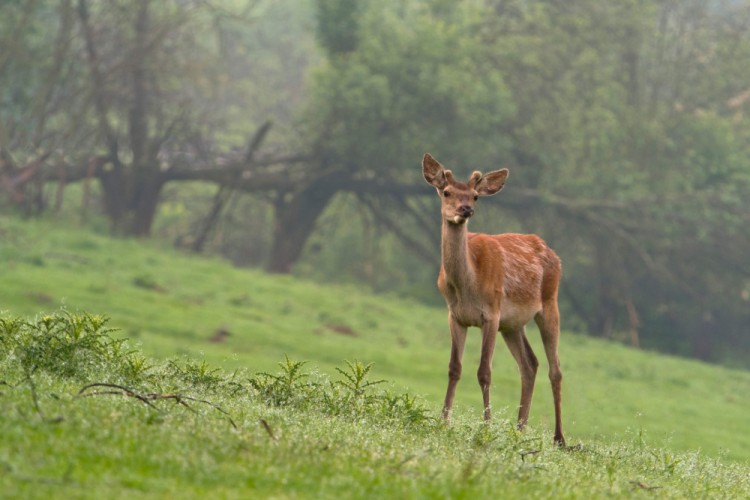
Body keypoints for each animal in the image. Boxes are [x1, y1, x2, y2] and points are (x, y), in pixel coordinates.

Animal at [420, 152, 568, 446]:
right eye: (446, 191)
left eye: (475, 196)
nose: (465, 209)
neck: (468, 283)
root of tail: (553, 254)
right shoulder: (455, 316)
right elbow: (454, 368)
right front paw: (444, 421)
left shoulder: (491, 313)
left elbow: (484, 371)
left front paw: (486, 426)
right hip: (513, 324)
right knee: (530, 364)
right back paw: (519, 428)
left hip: (549, 303)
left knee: (555, 368)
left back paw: (559, 438)